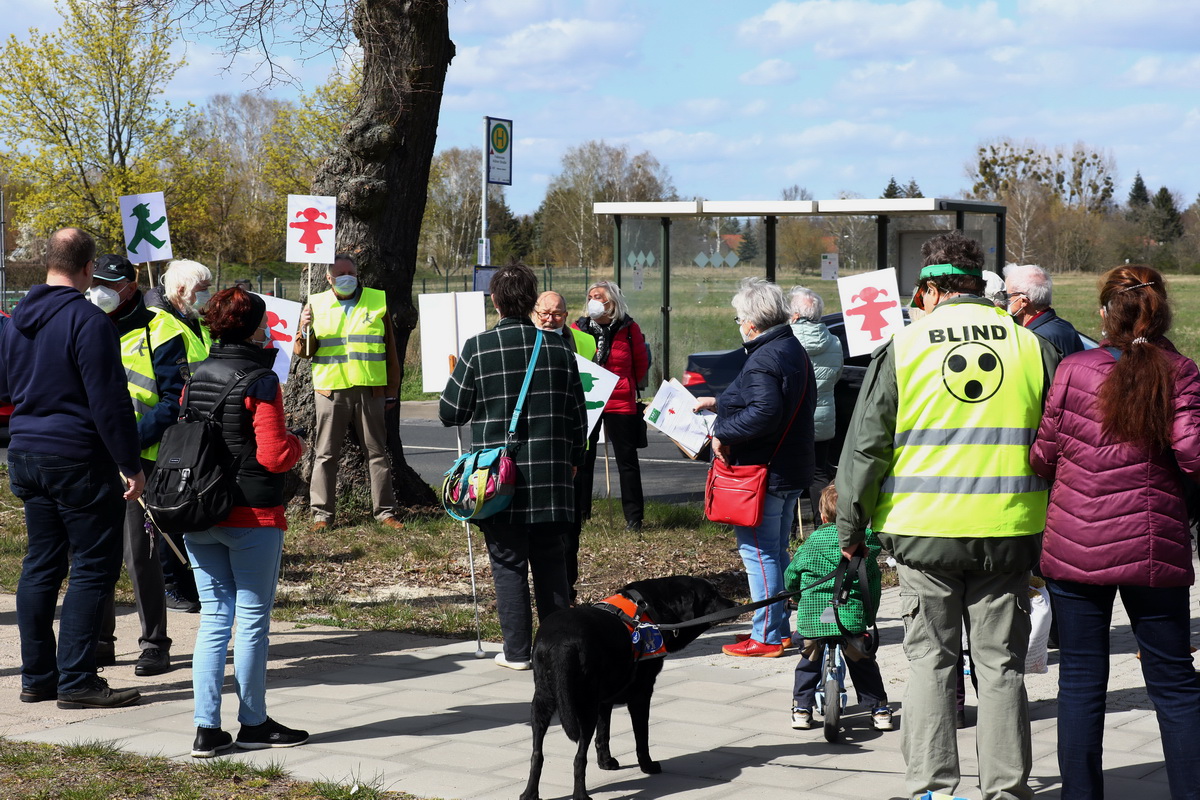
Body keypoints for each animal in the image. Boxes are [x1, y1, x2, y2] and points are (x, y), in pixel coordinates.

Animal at [518, 575, 734, 800]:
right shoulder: (641, 695)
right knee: (579, 758)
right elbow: (642, 737)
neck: (651, 607)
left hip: (541, 703)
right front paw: (648, 766)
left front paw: (605, 762)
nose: (733, 604)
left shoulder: (604, 699)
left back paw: (529, 794)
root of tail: (560, 643)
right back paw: (581, 795)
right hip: (584, 708)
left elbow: (603, 734)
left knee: (537, 754)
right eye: (710, 596)